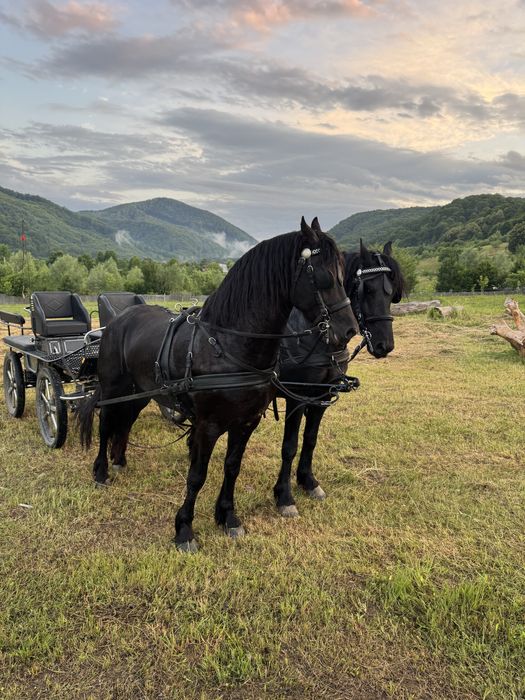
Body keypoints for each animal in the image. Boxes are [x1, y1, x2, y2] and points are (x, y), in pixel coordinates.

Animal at [78, 217, 358, 551]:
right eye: (324, 276)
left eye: (345, 274)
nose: (349, 330)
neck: (228, 344)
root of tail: (118, 320)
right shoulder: (208, 425)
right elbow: (197, 475)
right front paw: (184, 529)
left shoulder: (247, 422)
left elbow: (232, 466)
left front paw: (228, 517)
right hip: (114, 388)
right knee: (106, 423)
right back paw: (101, 472)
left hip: (140, 392)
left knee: (125, 422)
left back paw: (119, 460)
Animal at [273, 229, 405, 517]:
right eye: (368, 289)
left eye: (392, 294)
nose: (385, 345)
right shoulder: (297, 397)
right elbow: (289, 446)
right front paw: (284, 495)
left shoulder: (322, 396)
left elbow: (310, 439)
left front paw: (308, 481)